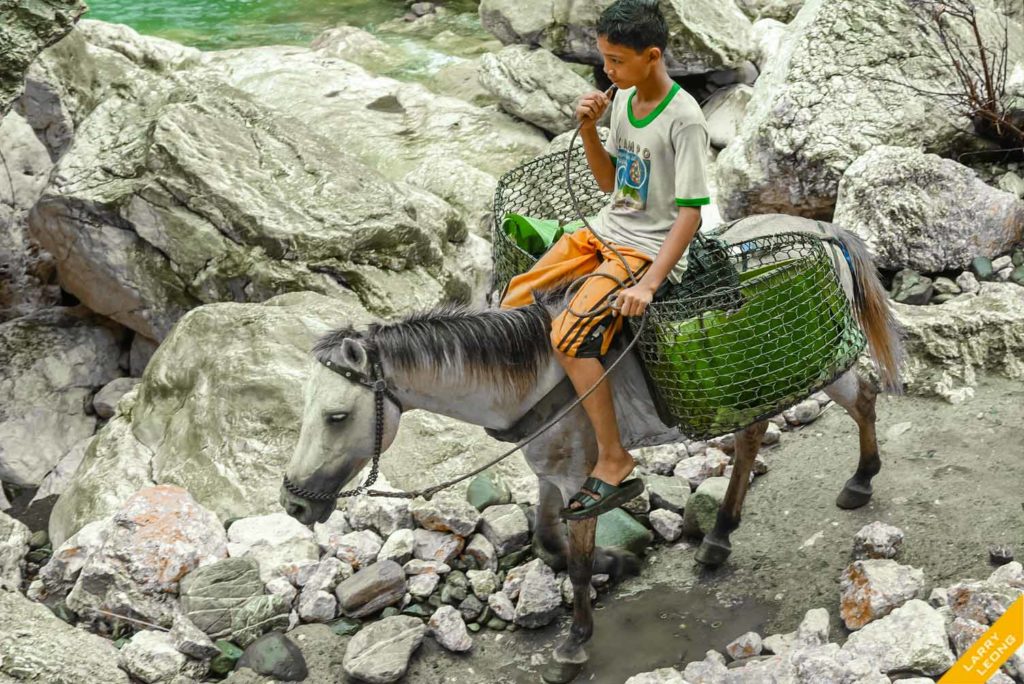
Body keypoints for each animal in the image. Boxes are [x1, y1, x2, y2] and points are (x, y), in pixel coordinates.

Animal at [280, 214, 903, 683]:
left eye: (337, 417)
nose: (293, 503)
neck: (532, 376)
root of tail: (821, 228)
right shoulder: (550, 476)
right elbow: (549, 543)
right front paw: (622, 561)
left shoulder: (582, 480)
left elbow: (574, 565)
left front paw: (574, 643)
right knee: (756, 435)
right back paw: (719, 538)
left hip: (814, 367)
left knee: (863, 398)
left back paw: (861, 480)